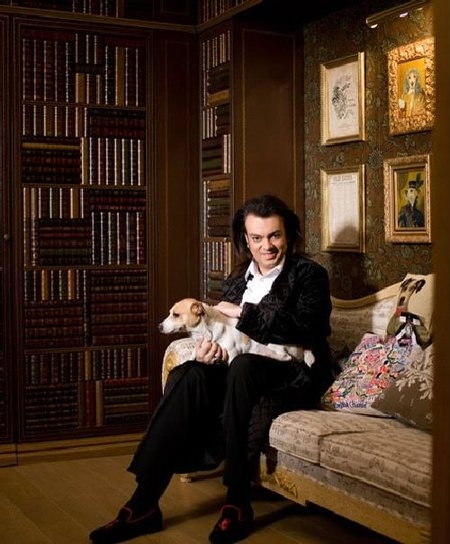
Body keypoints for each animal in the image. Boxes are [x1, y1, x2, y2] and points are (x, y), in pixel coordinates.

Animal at [159, 297, 314, 366]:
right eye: (170, 313)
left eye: (176, 315)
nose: (159, 326)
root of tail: (301, 347)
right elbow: (193, 354)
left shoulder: (232, 352)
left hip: (273, 343)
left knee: (286, 357)